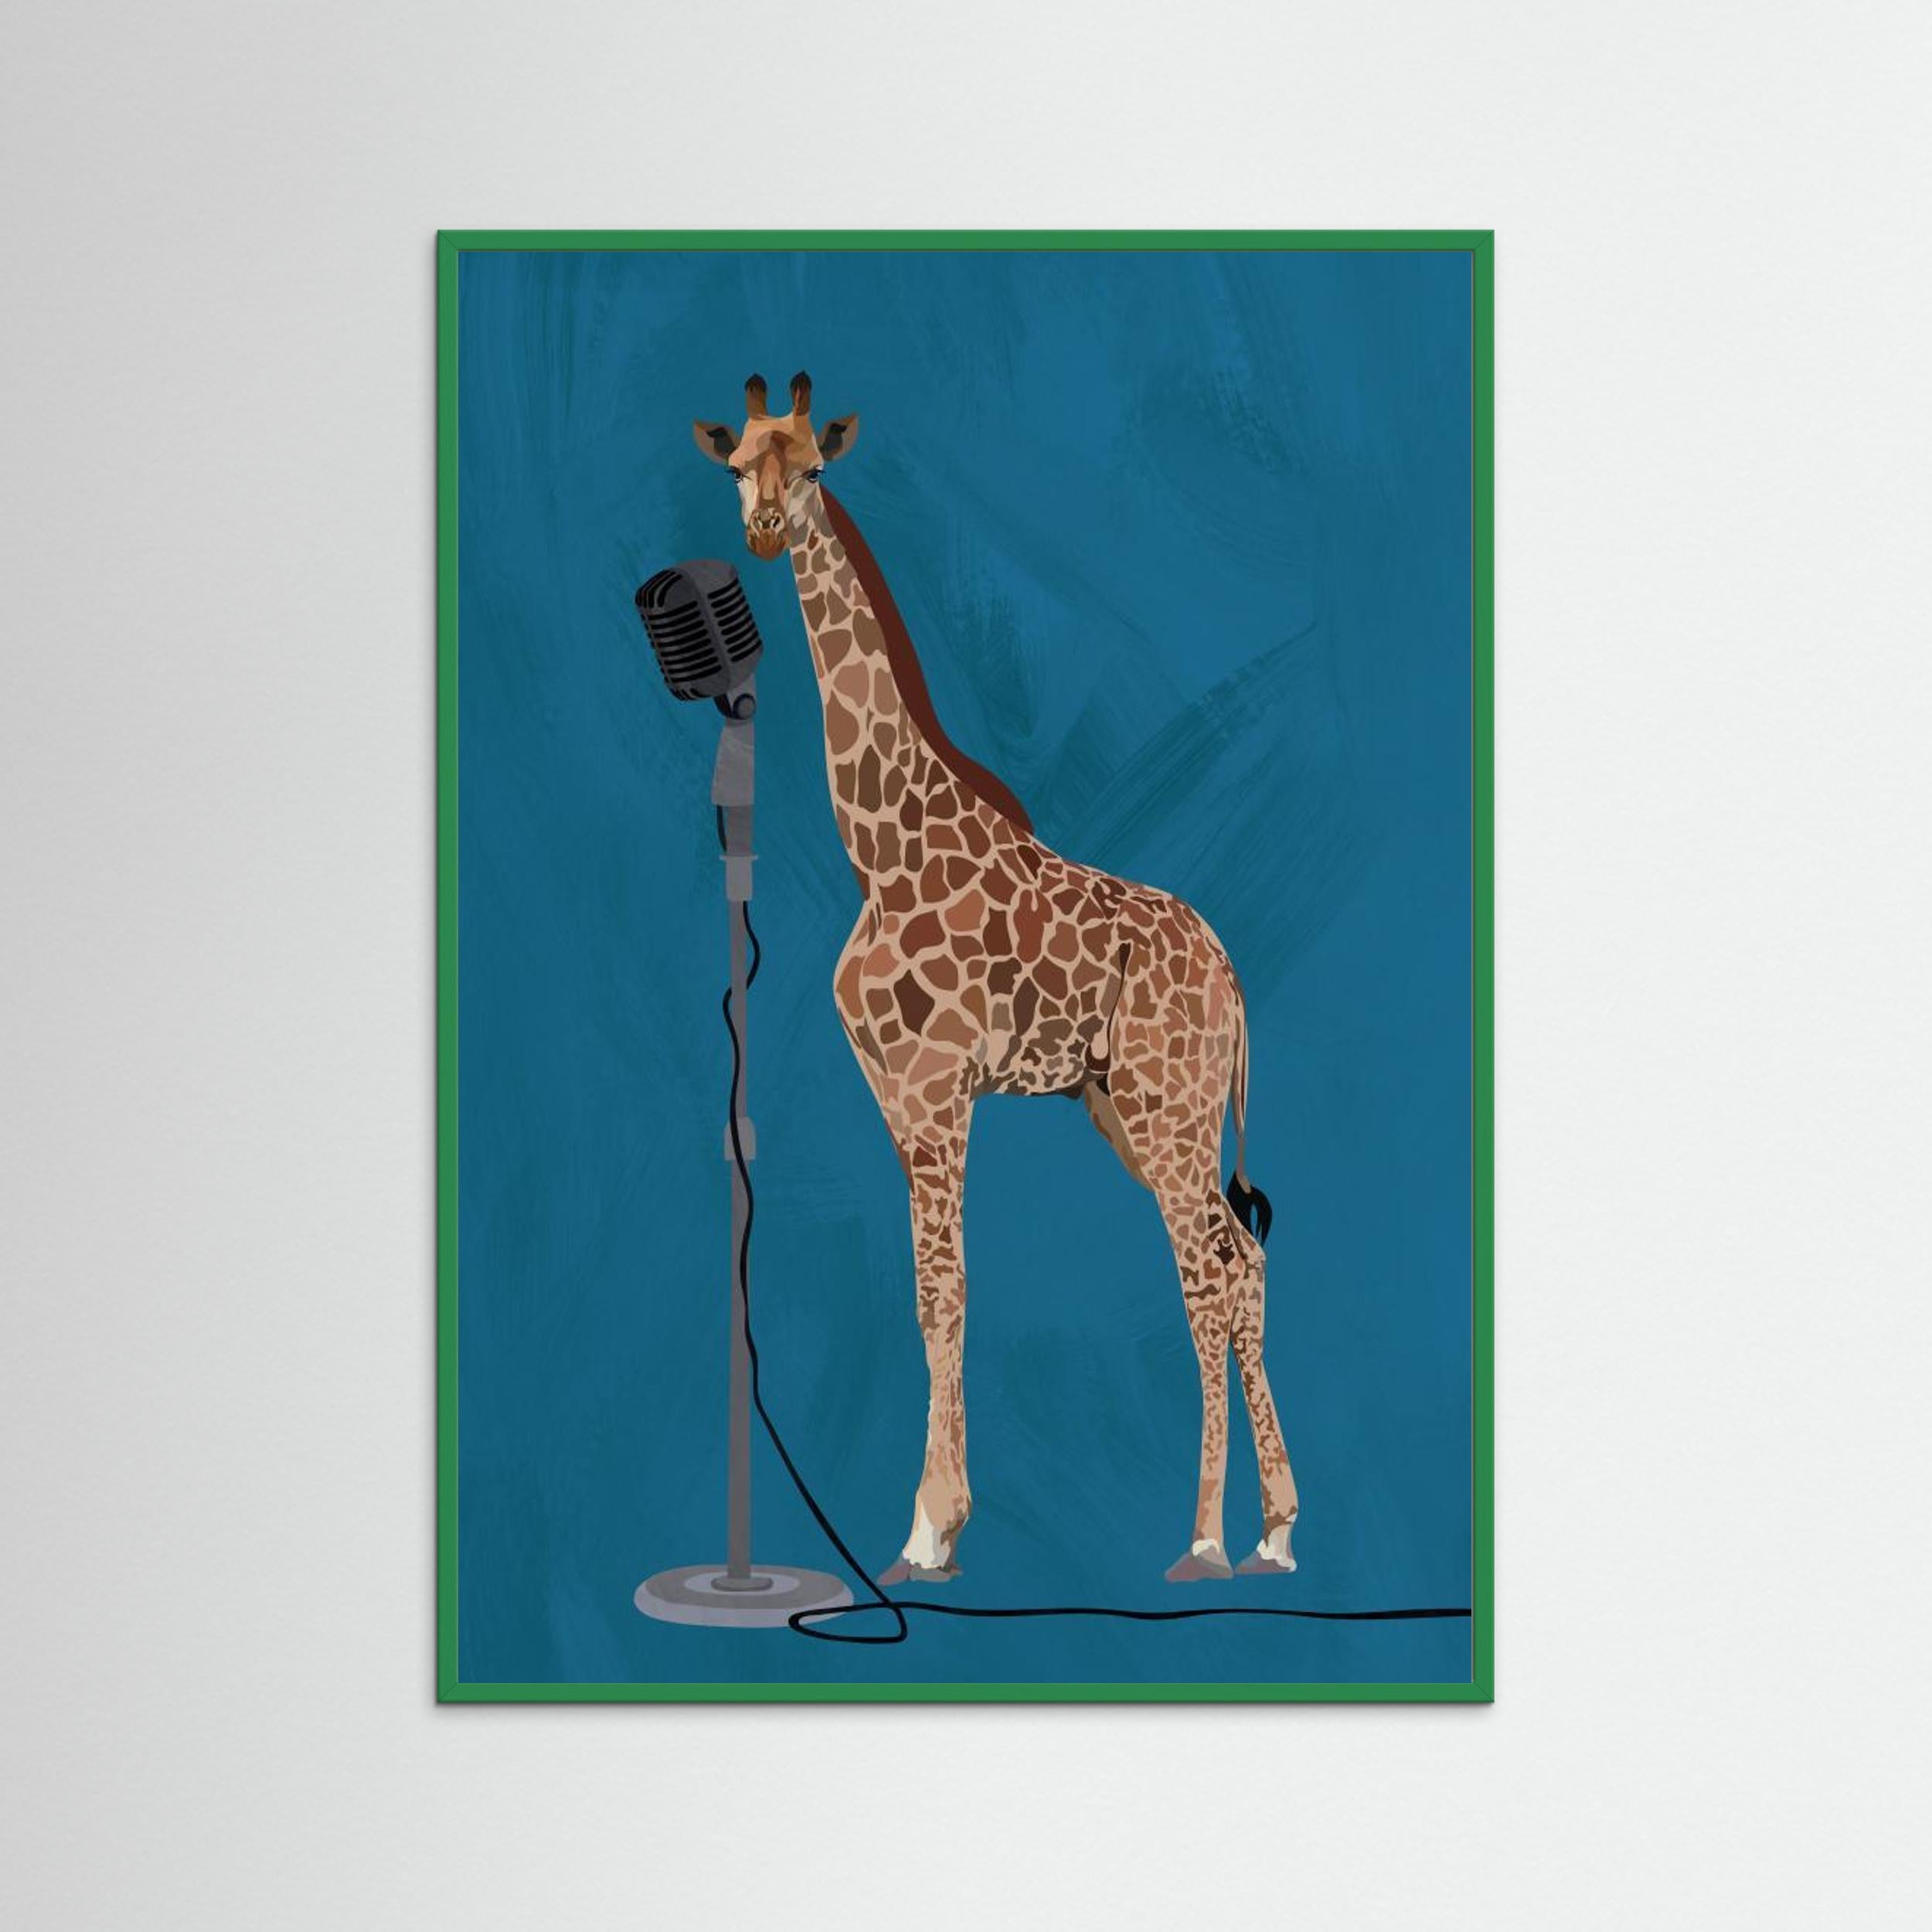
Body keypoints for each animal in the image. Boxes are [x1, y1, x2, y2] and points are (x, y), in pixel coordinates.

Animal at [692, 371, 1300, 1584]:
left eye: (814, 467)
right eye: (737, 465)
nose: (768, 529)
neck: (878, 847)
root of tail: (1232, 977)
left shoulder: (938, 1091)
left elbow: (945, 1292)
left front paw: (931, 1528)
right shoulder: (893, 1094)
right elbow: (930, 1294)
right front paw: (933, 1521)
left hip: (1169, 1107)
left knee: (1207, 1275)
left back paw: (1207, 1540)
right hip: (1132, 1109)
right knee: (1240, 1258)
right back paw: (1274, 1530)